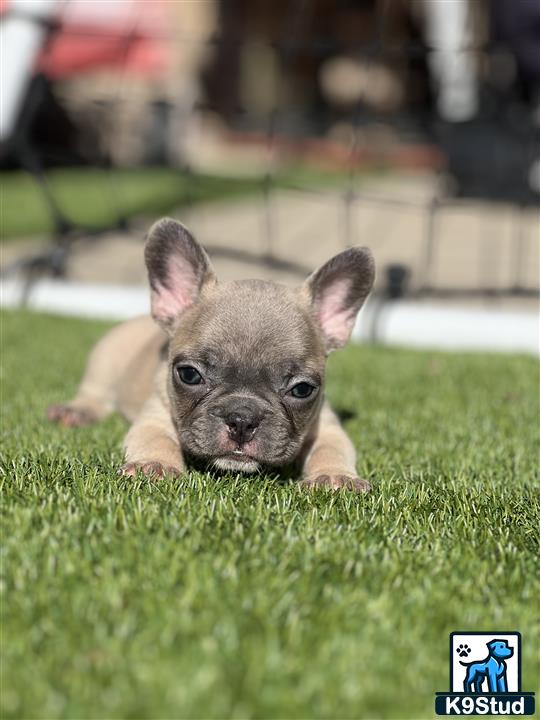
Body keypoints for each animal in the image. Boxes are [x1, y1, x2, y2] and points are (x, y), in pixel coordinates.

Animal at [47, 218, 376, 490]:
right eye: (189, 375)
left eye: (303, 389)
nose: (242, 419)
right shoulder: (155, 414)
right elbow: (155, 438)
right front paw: (154, 464)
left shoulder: (327, 425)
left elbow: (332, 448)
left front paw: (335, 476)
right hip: (104, 361)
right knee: (95, 394)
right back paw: (77, 411)